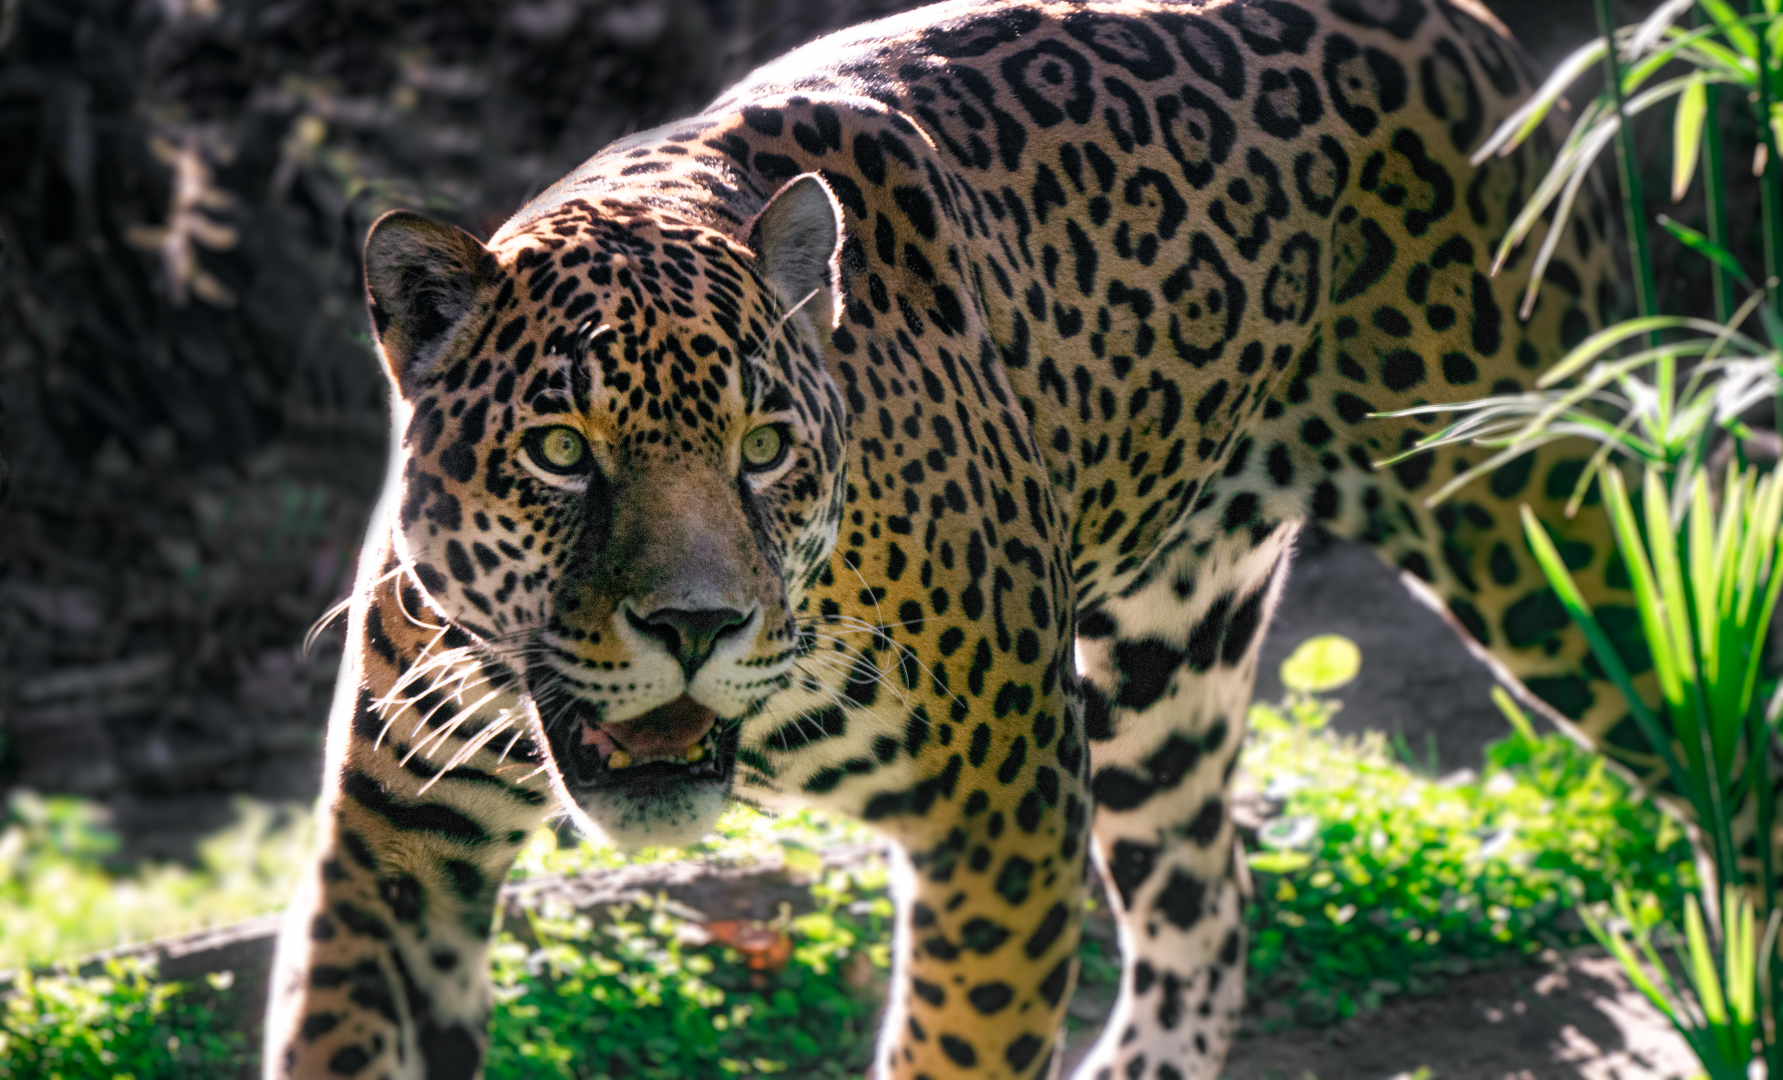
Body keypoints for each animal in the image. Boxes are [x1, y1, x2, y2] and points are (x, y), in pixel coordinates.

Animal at [262, 1, 1637, 1077]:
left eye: (762, 447)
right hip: (1163, 667)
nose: (696, 626)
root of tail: (1468, 28)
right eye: (559, 451)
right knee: (1206, 902)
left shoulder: (1004, 814)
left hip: (1542, 529)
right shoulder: (393, 847)